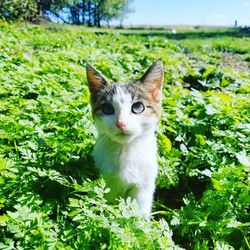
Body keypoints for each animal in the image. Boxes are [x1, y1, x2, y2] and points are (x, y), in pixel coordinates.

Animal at [86, 59, 164, 216]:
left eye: (138, 107)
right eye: (107, 109)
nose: (121, 123)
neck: (125, 150)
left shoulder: (144, 185)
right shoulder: (106, 182)